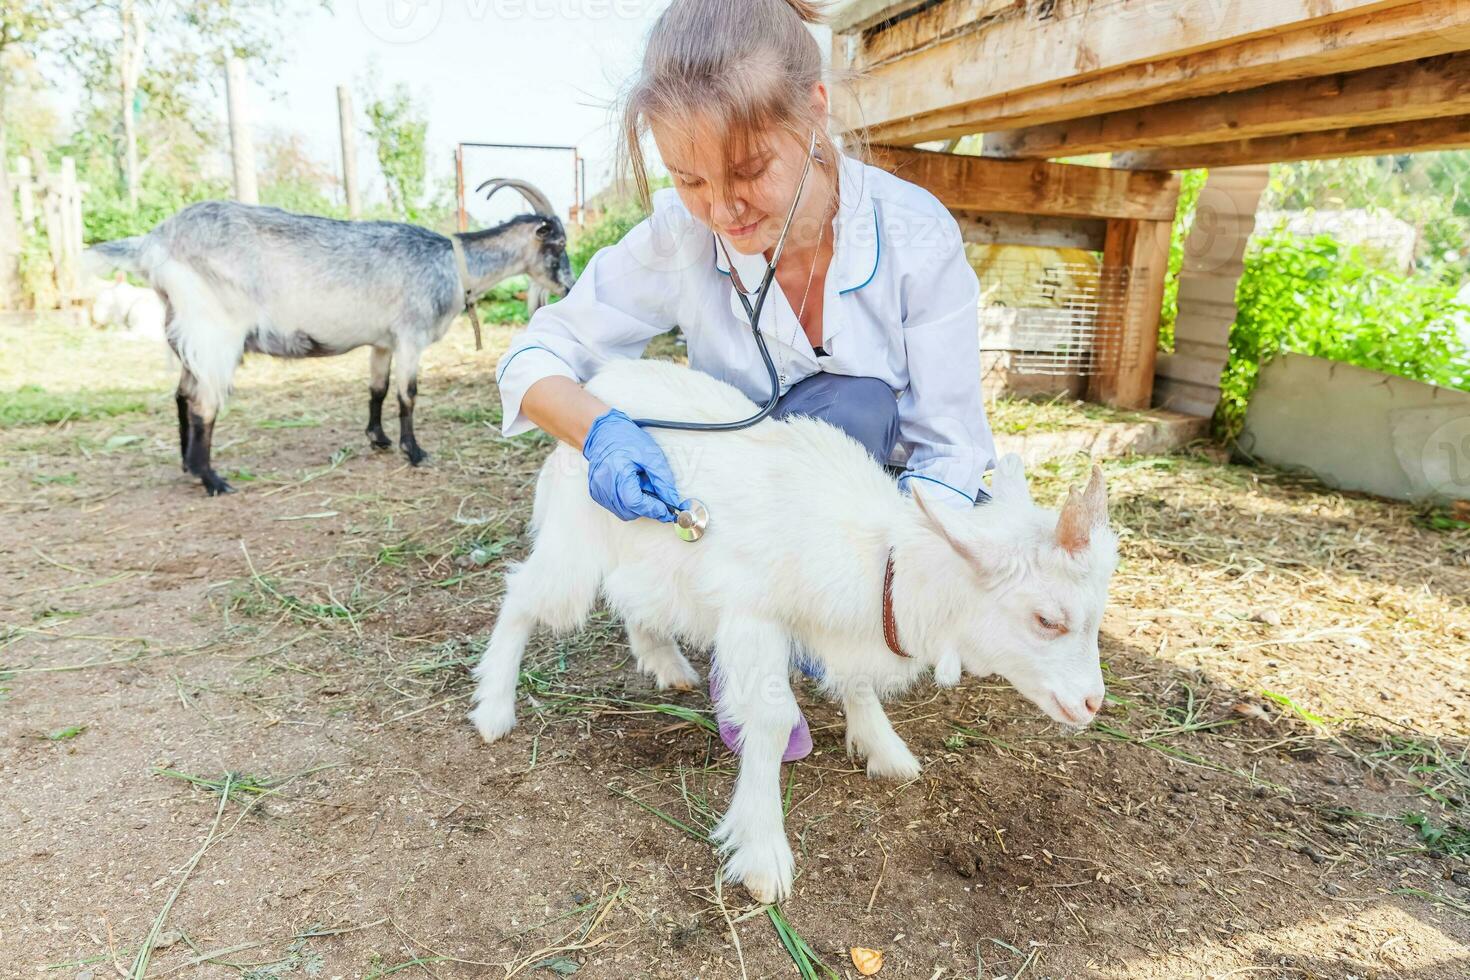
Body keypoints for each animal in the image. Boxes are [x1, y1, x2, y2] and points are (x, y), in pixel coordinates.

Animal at [83, 179, 579, 493]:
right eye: (557, 244)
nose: (570, 286)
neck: (454, 264)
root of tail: (152, 243)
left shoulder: (382, 341)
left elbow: (377, 389)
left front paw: (378, 440)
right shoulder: (411, 334)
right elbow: (408, 394)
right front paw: (415, 452)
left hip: (185, 328)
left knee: (182, 394)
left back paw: (189, 466)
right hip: (215, 331)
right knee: (205, 402)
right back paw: (213, 480)